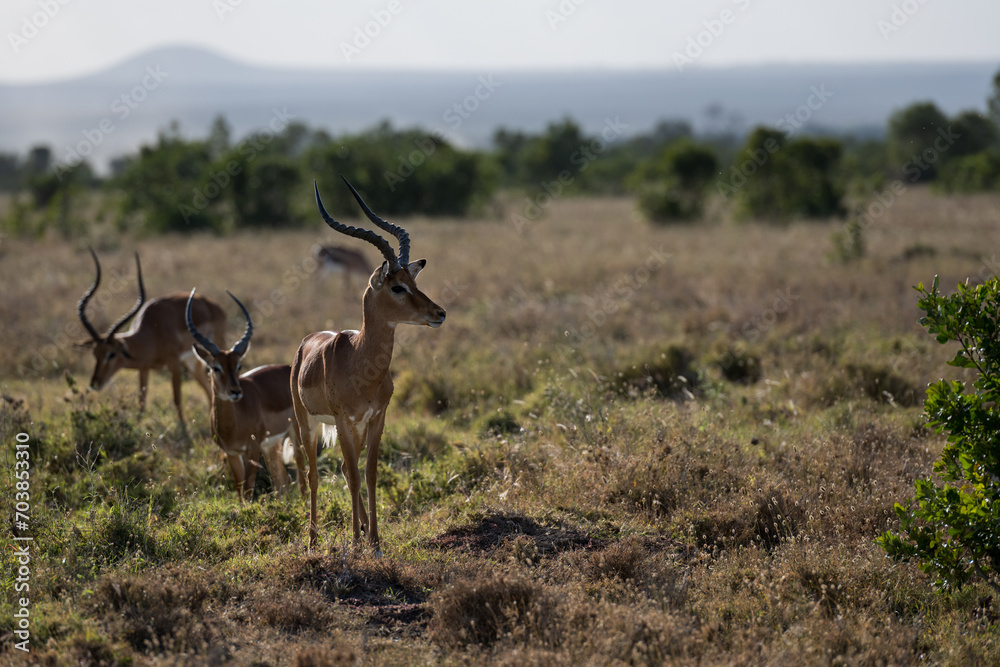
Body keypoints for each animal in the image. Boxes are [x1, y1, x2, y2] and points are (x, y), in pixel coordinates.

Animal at [77, 249, 226, 427]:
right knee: (208, 389)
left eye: (111, 354)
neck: (151, 334)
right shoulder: (144, 368)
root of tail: (215, 306)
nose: (94, 384)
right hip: (193, 362)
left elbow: (177, 400)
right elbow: (141, 402)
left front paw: (184, 432)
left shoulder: (175, 364)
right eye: (95, 354)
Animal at [186, 289, 306, 501]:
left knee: (300, 475)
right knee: (282, 480)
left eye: (239, 365)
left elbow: (249, 490)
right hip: (270, 446)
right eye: (215, 367)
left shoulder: (252, 449)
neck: (233, 424)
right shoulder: (232, 453)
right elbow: (240, 491)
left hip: (294, 435)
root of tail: (290, 369)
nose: (235, 392)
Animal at [292, 178, 446, 554]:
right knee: (314, 474)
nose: (439, 313)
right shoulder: (344, 420)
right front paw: (356, 540)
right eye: (397, 287)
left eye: (415, 282)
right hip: (308, 423)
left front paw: (374, 540)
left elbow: (370, 473)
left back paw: (360, 529)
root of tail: (306, 342)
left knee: (346, 470)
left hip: (353, 429)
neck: (360, 364)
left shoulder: (376, 418)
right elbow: (351, 474)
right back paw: (313, 539)